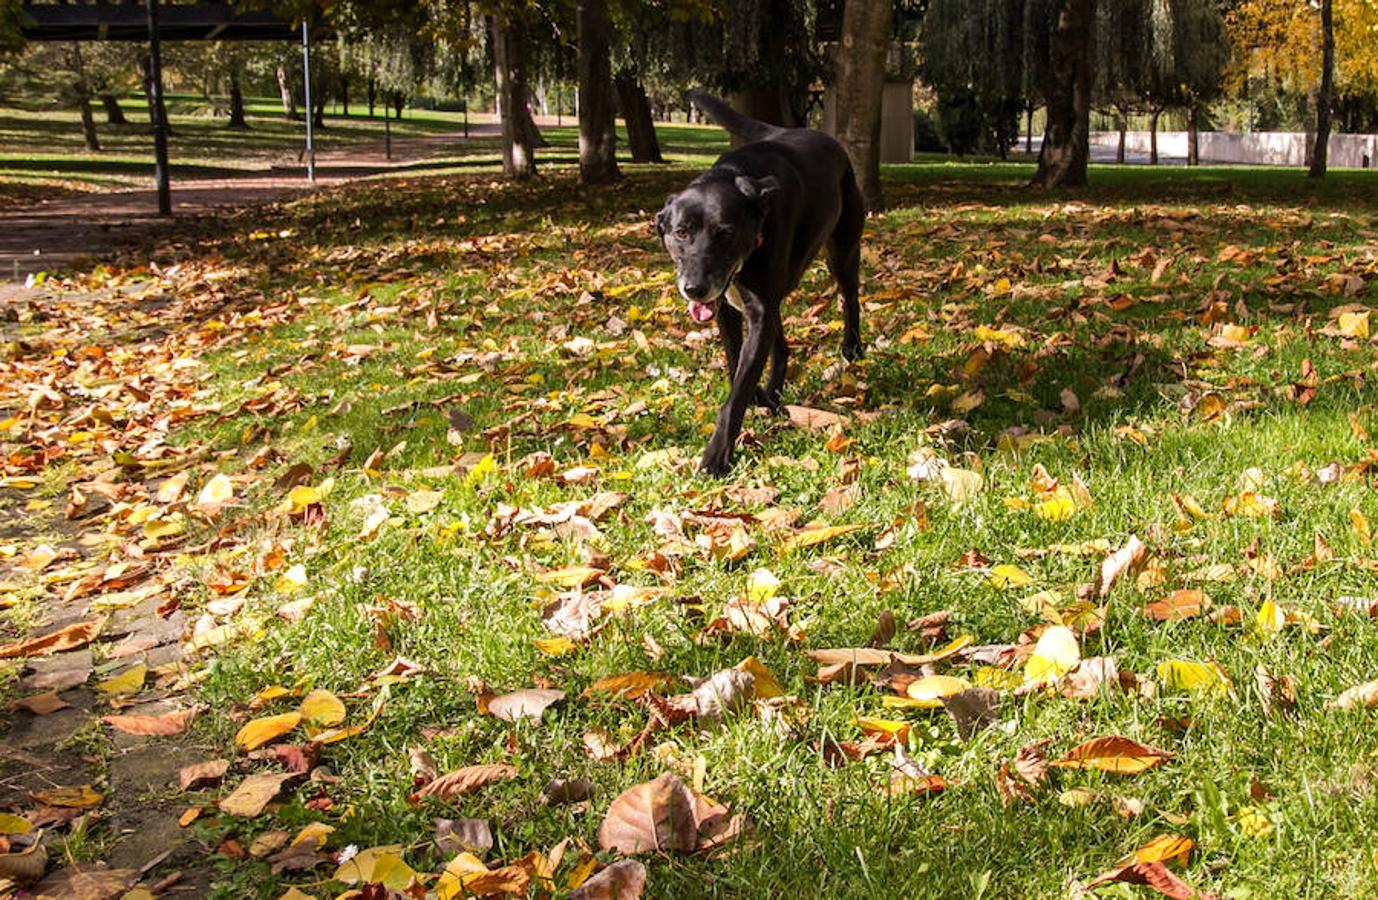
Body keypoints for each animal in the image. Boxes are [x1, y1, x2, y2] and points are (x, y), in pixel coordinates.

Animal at [655, 90, 859, 476]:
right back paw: (773, 394)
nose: (695, 288)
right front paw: (761, 397)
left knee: (850, 297)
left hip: (841, 249)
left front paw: (716, 456)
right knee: (780, 345)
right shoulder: (729, 308)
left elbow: (737, 391)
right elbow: (737, 364)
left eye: (725, 234)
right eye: (681, 233)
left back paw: (852, 348)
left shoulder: (758, 307)